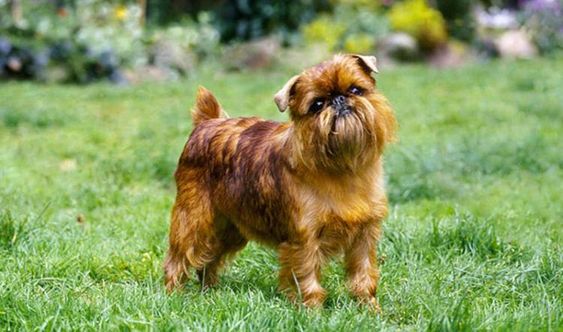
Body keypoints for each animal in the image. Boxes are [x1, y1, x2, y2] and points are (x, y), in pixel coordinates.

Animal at [164, 54, 396, 308]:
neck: (343, 167)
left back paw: (210, 291)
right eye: (317, 105)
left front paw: (369, 308)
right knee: (179, 256)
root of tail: (207, 123)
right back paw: (173, 293)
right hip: (193, 218)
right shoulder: (304, 239)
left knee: (209, 258)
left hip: (231, 228)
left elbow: (364, 274)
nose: (339, 99)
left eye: (356, 89)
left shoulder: (365, 235)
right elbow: (307, 277)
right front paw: (312, 310)